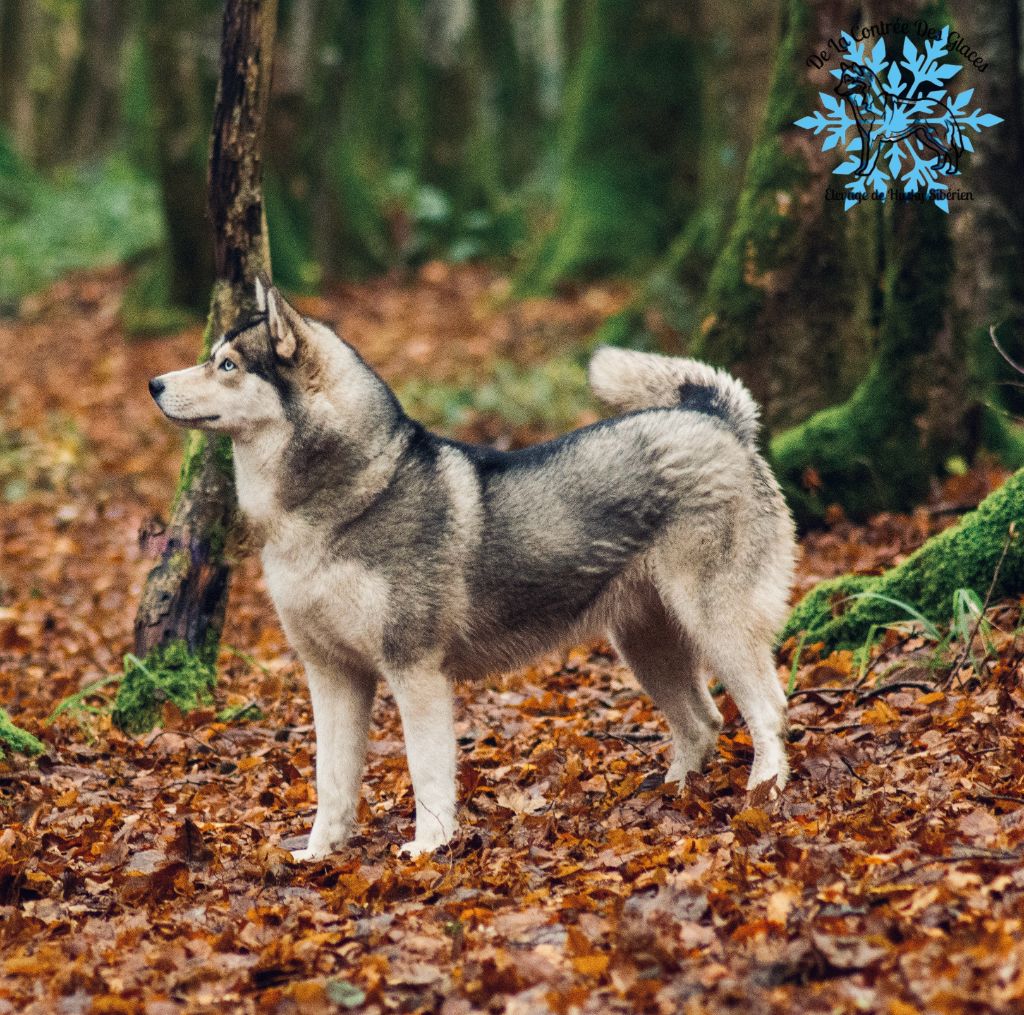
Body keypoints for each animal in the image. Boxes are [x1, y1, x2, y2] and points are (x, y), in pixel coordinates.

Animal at [148, 278, 794, 856]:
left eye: (227, 364)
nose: (153, 383)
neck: (345, 501)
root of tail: (717, 419)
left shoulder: (414, 672)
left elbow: (426, 770)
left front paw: (430, 846)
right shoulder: (331, 675)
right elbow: (331, 782)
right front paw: (318, 853)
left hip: (715, 624)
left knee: (768, 709)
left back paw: (763, 793)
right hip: (645, 644)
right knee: (703, 722)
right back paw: (669, 797)